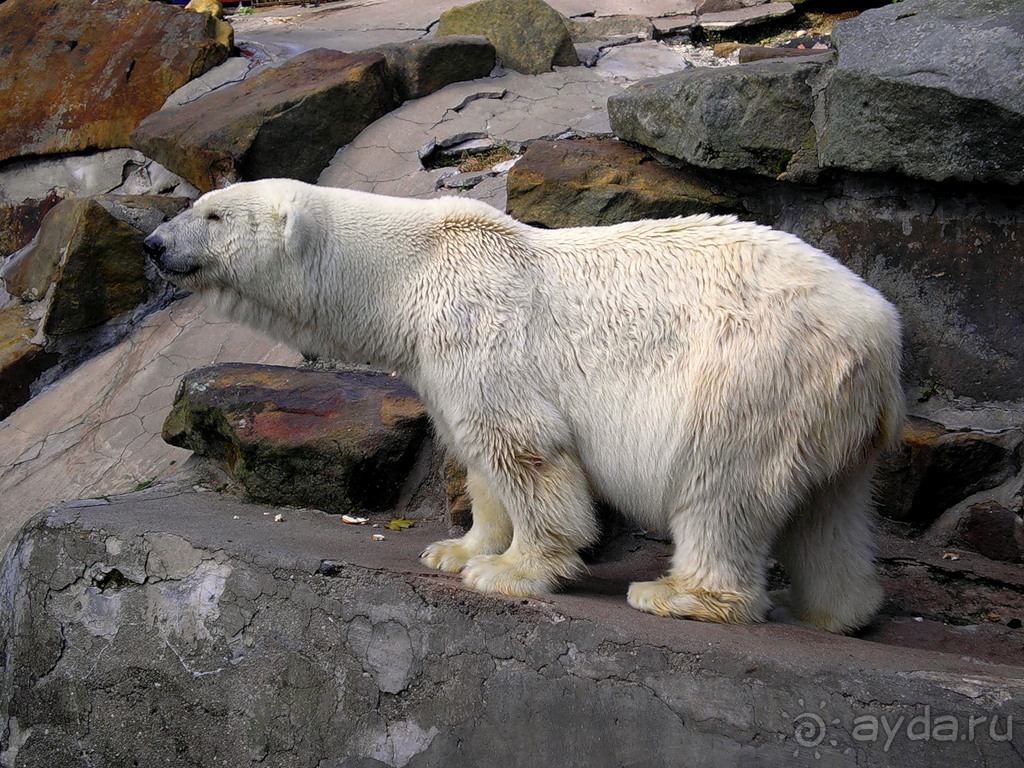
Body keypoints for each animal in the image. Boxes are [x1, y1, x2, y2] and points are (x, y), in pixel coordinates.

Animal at [146, 180, 905, 638]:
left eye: (212, 215)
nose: (153, 243)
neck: (410, 272)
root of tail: (882, 332)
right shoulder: (437, 359)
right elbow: (479, 460)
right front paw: (457, 548)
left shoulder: (478, 326)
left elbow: (525, 450)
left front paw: (511, 571)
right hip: (824, 407)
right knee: (831, 510)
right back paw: (840, 610)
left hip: (753, 373)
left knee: (720, 485)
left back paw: (679, 595)